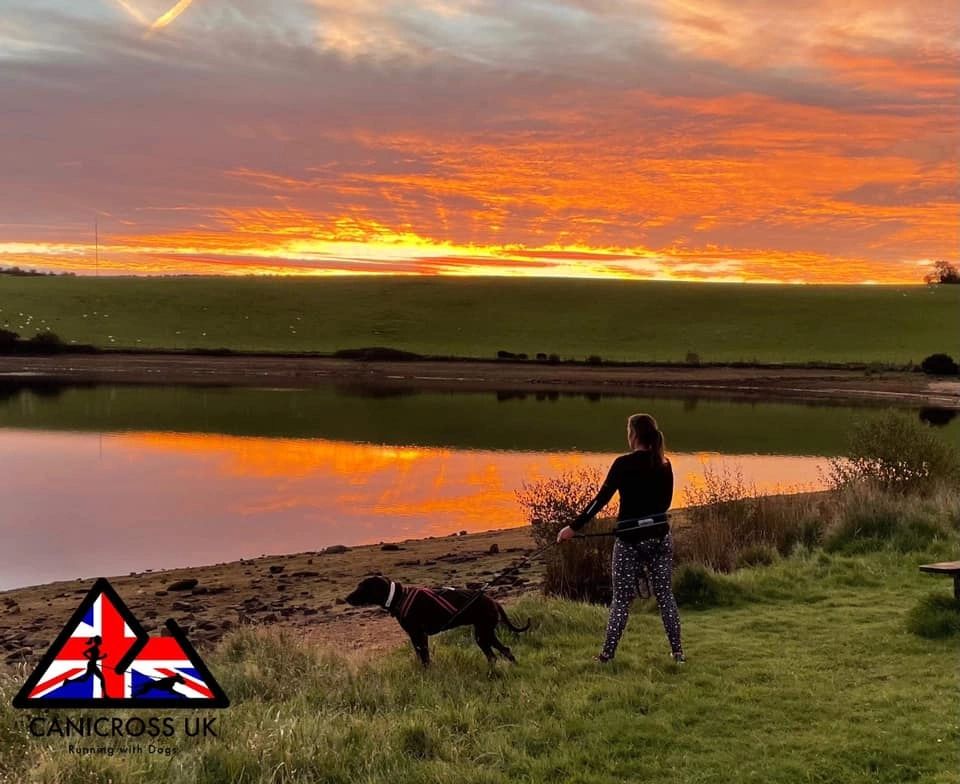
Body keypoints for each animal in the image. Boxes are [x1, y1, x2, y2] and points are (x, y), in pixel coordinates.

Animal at [344, 572, 528, 664]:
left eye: (362, 587)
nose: (346, 598)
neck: (398, 596)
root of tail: (494, 601)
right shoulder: (417, 637)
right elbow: (422, 658)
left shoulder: (418, 635)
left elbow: (425, 659)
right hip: (483, 634)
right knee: (501, 653)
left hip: (483, 633)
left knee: (499, 653)